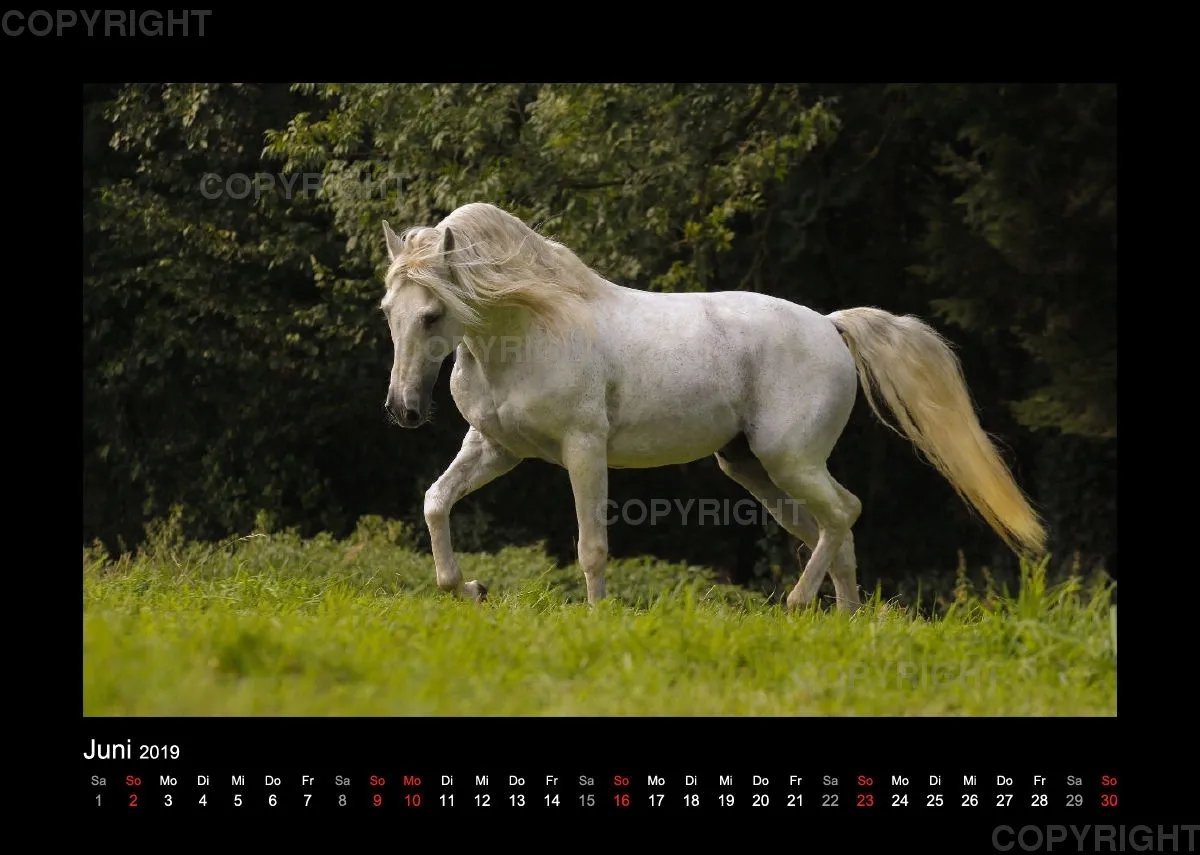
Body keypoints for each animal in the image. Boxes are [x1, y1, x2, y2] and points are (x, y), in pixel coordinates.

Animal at [379, 202, 1046, 611]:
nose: (403, 411)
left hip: (788, 459)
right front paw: (469, 588)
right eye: (390, 311)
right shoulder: (496, 448)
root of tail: (829, 326)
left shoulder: (583, 448)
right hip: (754, 468)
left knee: (844, 512)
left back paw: (798, 603)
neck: (530, 325)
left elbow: (591, 545)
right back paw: (846, 620)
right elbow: (435, 501)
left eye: (433, 314)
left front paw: (595, 618)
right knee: (834, 530)